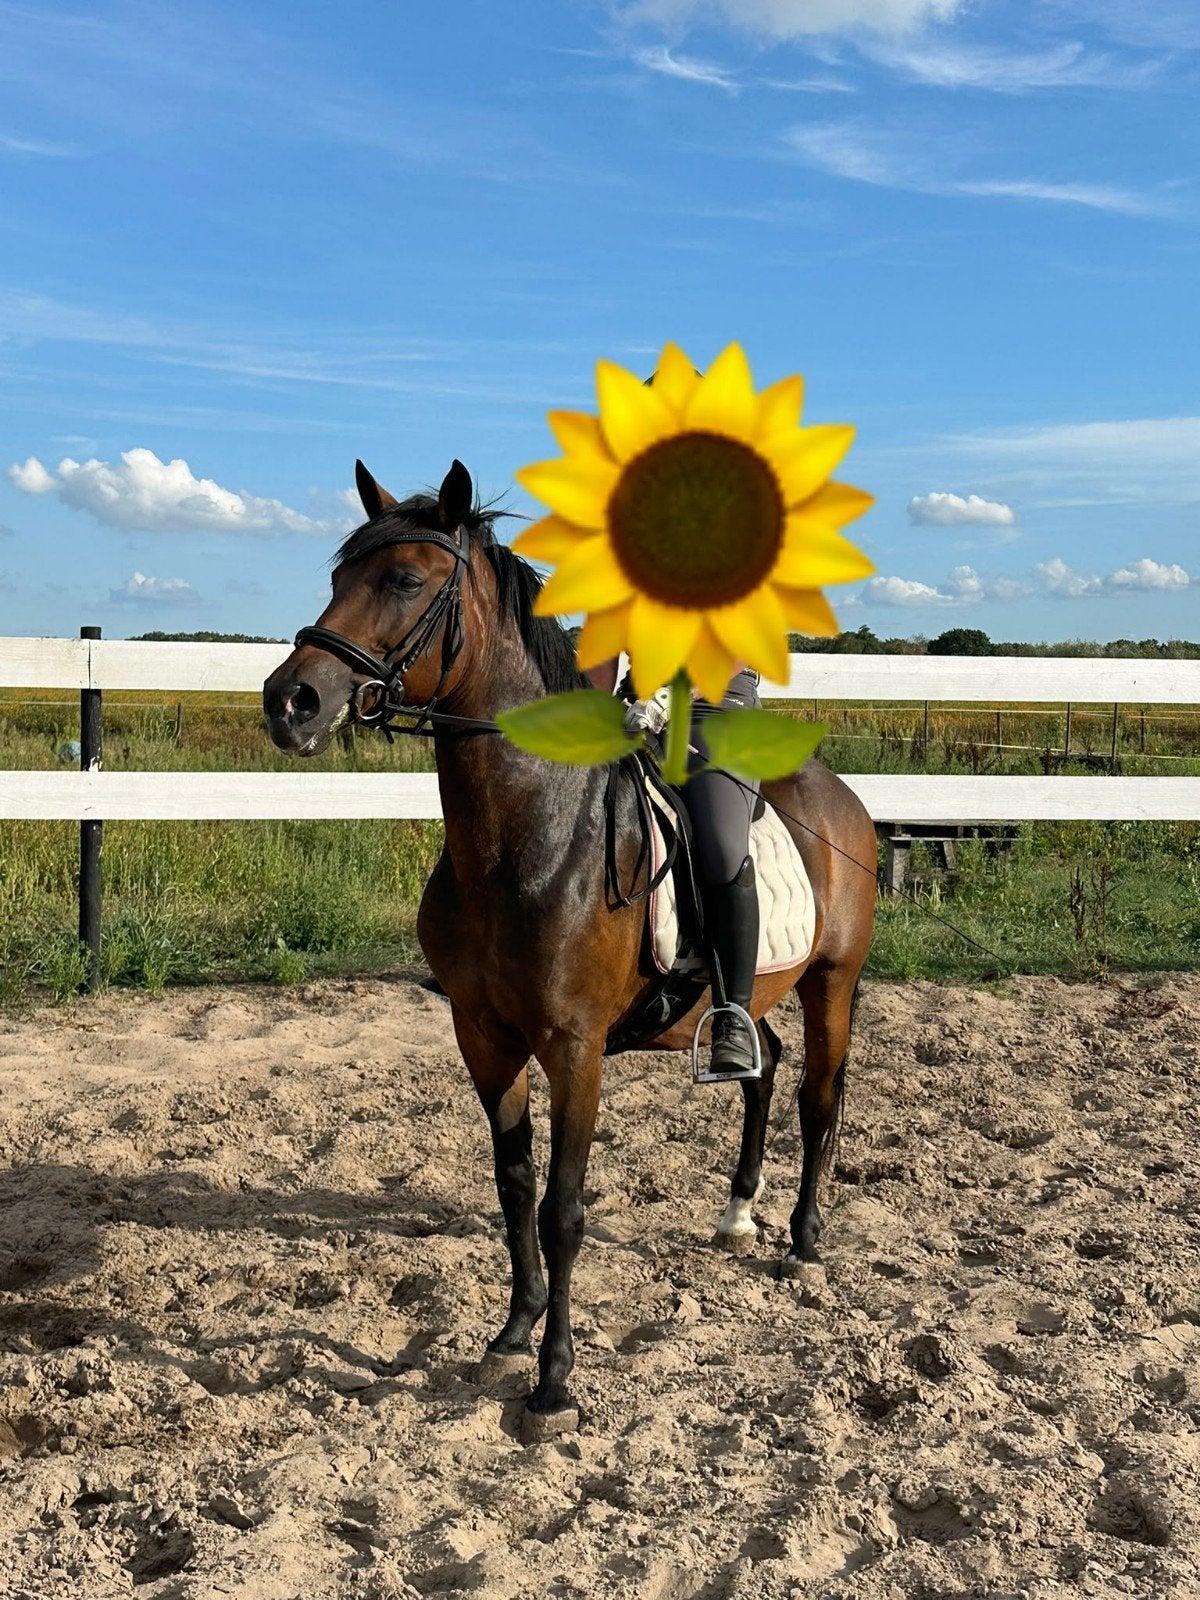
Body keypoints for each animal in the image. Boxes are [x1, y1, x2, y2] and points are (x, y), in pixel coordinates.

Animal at [263, 459, 876, 1441]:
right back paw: (738, 1213)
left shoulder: (573, 1047)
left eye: (405, 581)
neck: (525, 840)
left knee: (819, 1098)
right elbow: (514, 1187)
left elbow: (563, 1208)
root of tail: (839, 795)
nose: (291, 702)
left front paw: (553, 1385)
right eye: (337, 577)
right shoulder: (484, 1037)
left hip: (832, 981)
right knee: (763, 1068)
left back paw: (804, 1241)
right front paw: (512, 1333)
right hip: (744, 996)